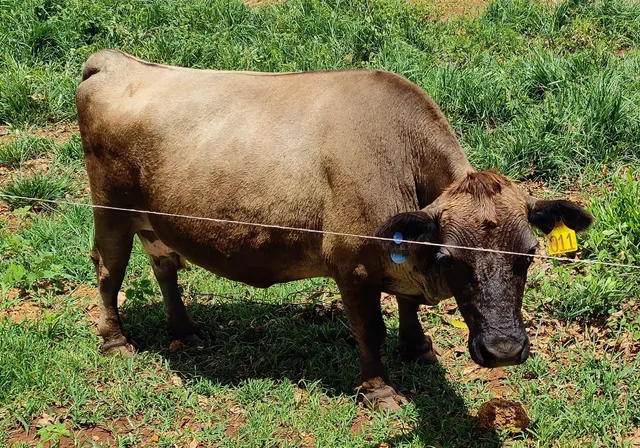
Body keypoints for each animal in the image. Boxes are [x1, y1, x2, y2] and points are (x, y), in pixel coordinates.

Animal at [76, 50, 592, 411]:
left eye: (528, 254)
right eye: (451, 258)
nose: (504, 349)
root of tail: (114, 61)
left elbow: (407, 305)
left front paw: (418, 347)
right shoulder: (353, 265)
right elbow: (369, 329)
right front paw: (380, 391)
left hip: (155, 219)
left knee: (164, 264)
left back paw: (184, 329)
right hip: (110, 209)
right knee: (108, 270)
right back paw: (115, 341)